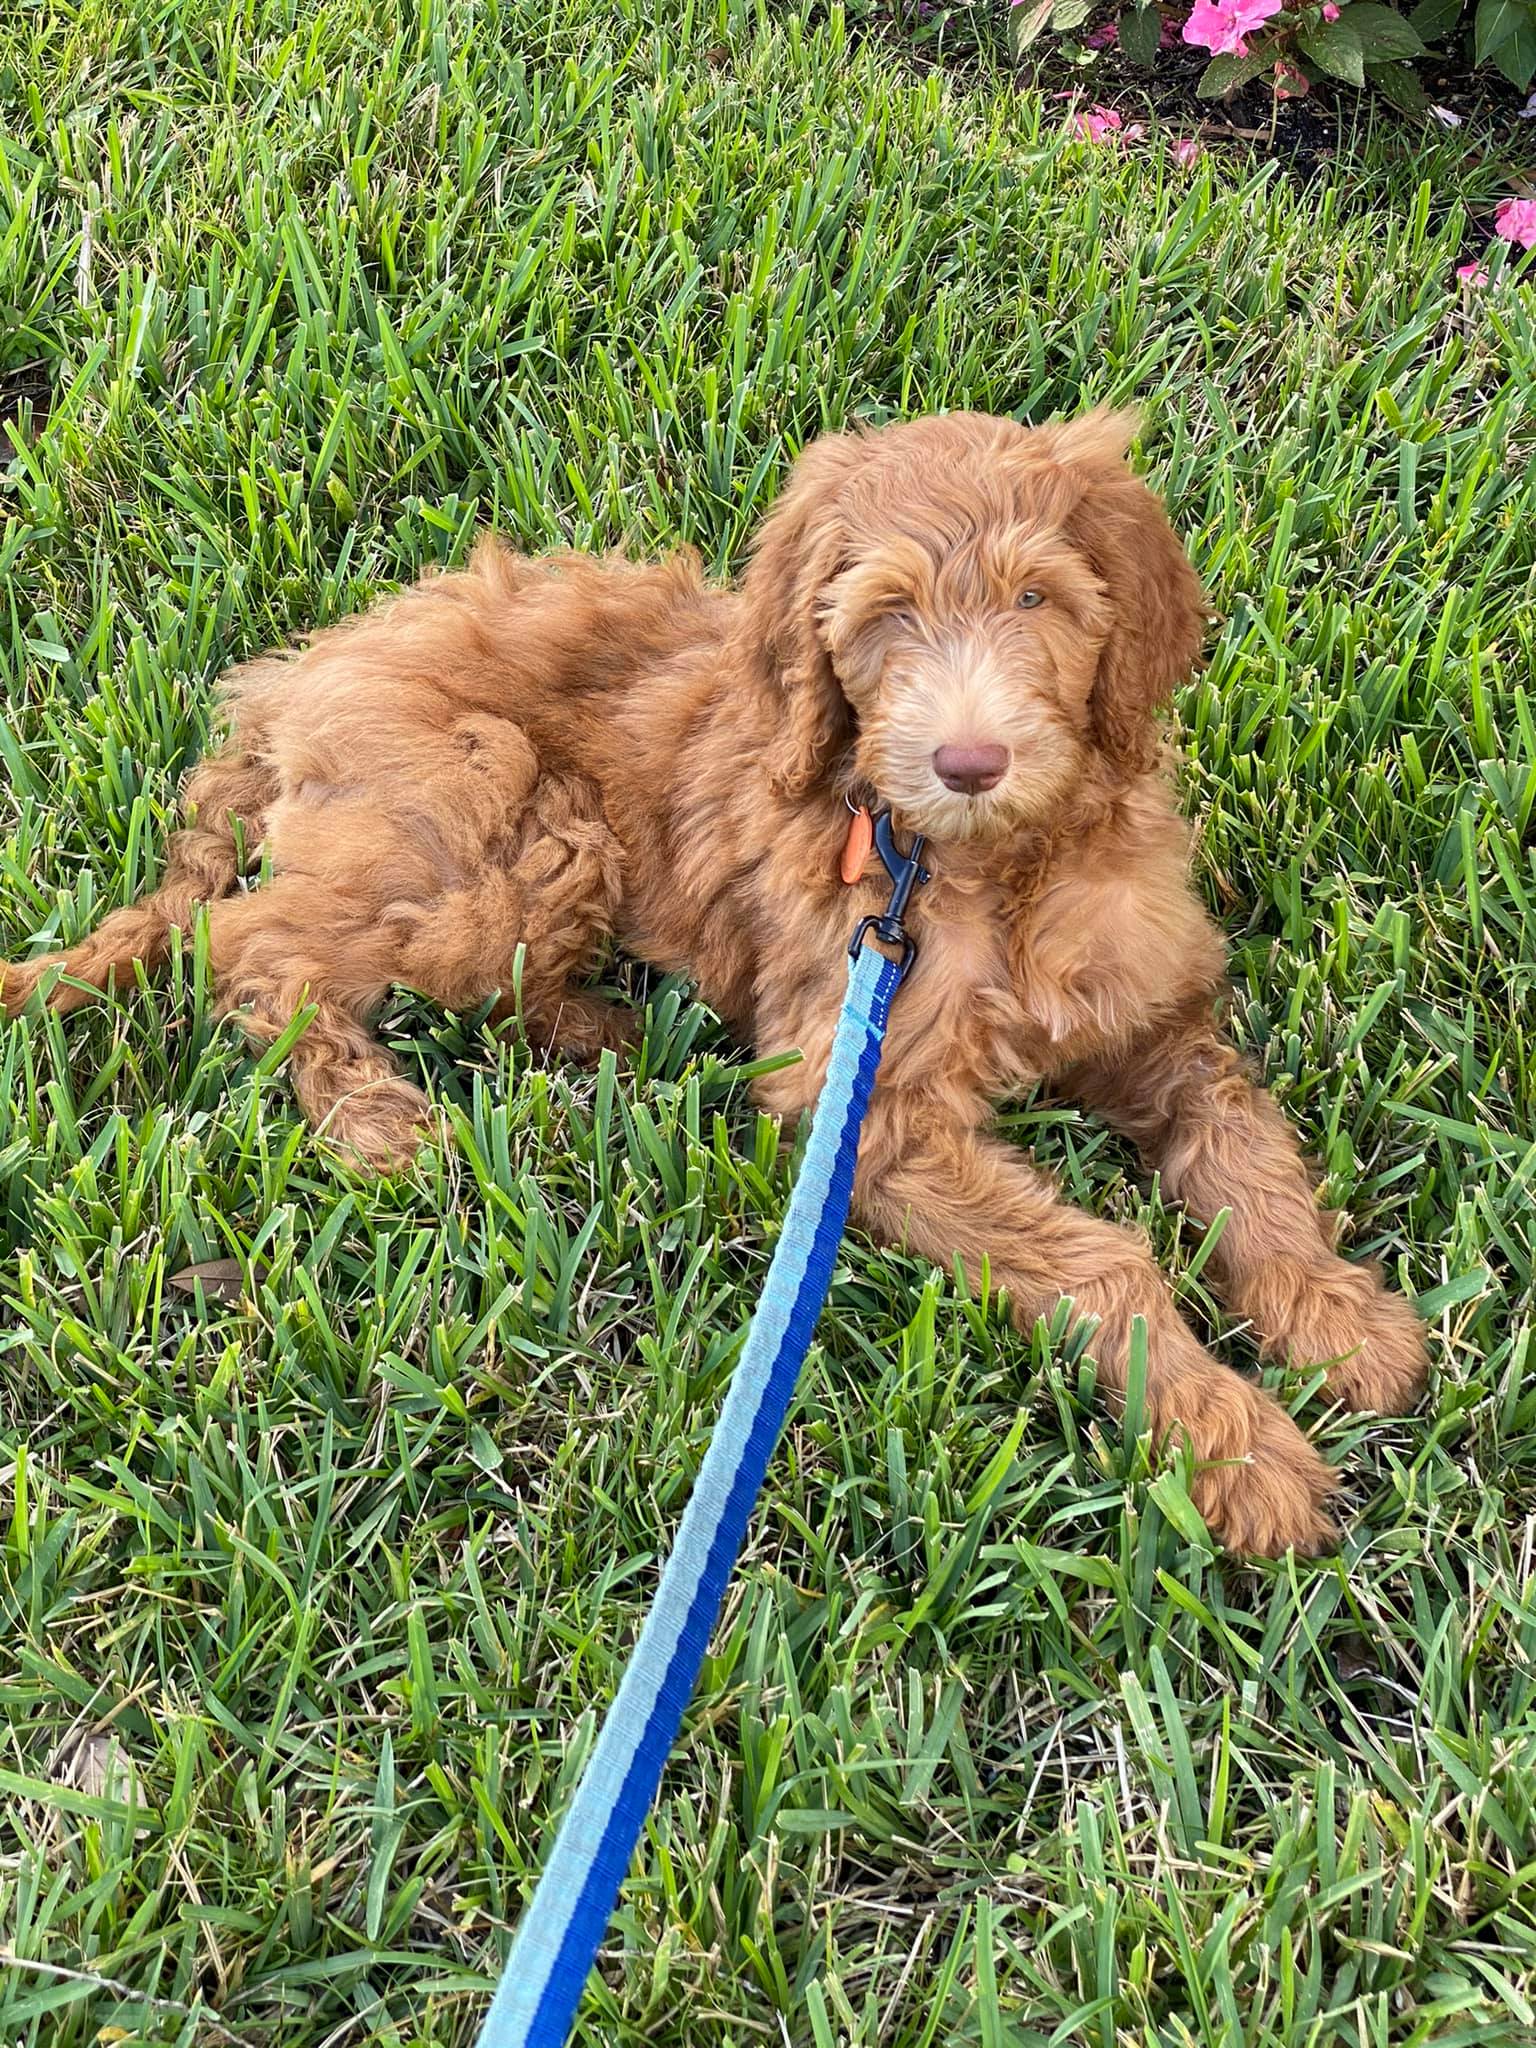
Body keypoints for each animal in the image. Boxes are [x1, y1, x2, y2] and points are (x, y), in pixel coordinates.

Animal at [3, 407, 1433, 1548]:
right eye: (889, 616)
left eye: (1037, 600)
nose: (970, 761)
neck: (981, 866)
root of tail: (290, 683)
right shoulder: (863, 1105)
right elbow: (1109, 1260)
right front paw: (1244, 1446)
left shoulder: (1158, 1024)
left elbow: (1246, 1155)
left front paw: (1340, 1321)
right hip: (501, 819)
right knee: (254, 946)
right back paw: (374, 1116)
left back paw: (599, 1031)